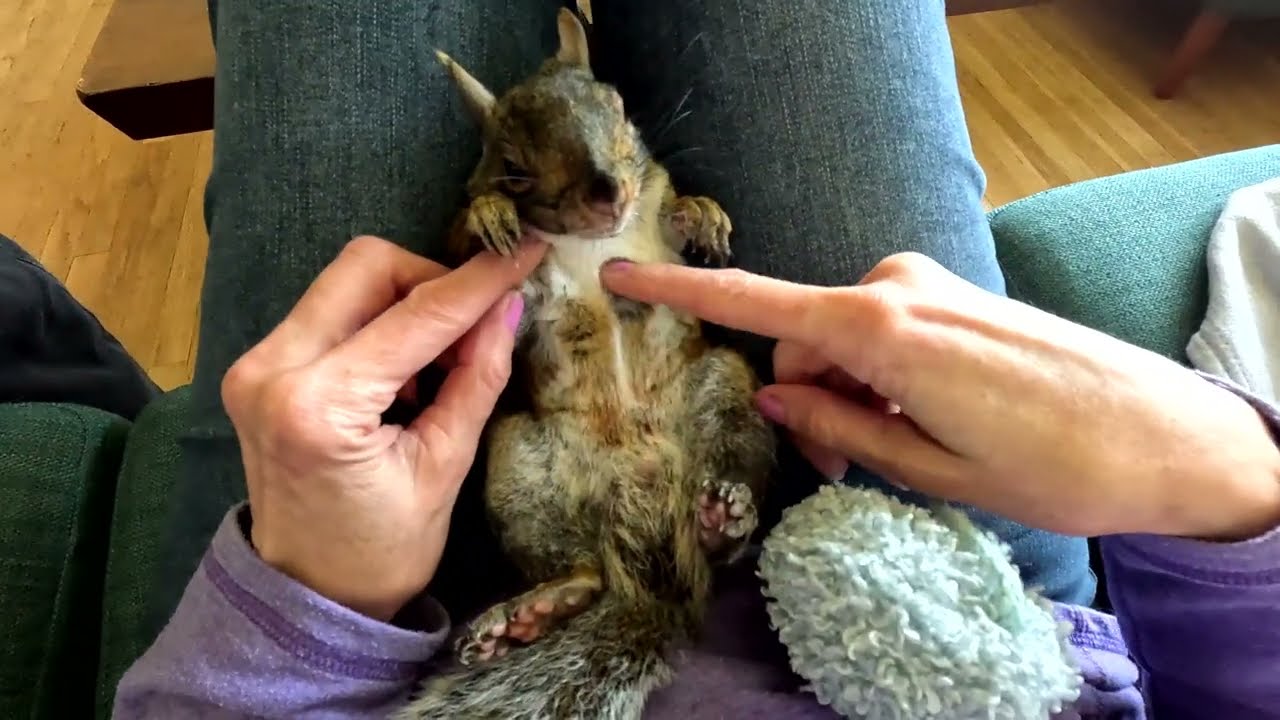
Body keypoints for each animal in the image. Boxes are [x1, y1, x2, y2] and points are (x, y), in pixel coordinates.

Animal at [395, 9, 776, 719]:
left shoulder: (659, 240)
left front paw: (704, 215)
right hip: (519, 468)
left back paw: (722, 520)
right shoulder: (502, 292)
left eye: (618, 105)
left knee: (726, 531)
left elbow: (677, 219)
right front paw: (489, 216)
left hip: (724, 387)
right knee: (580, 569)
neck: (592, 242)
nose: (606, 192)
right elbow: (464, 253)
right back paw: (540, 606)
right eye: (511, 166)